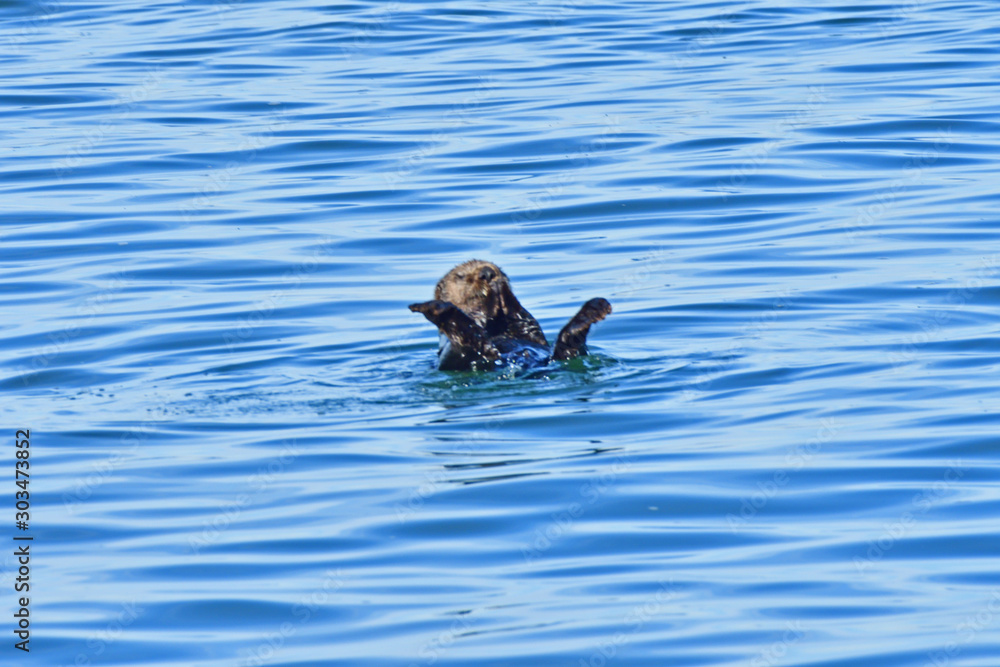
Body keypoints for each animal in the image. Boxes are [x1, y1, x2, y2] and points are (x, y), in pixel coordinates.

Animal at [409, 259, 611, 371]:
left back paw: (593, 309)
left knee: (567, 345)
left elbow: (523, 319)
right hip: (464, 354)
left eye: (497, 267)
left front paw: (502, 288)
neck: (492, 328)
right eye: (460, 276)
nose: (487, 273)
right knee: (468, 337)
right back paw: (435, 308)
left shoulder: (529, 333)